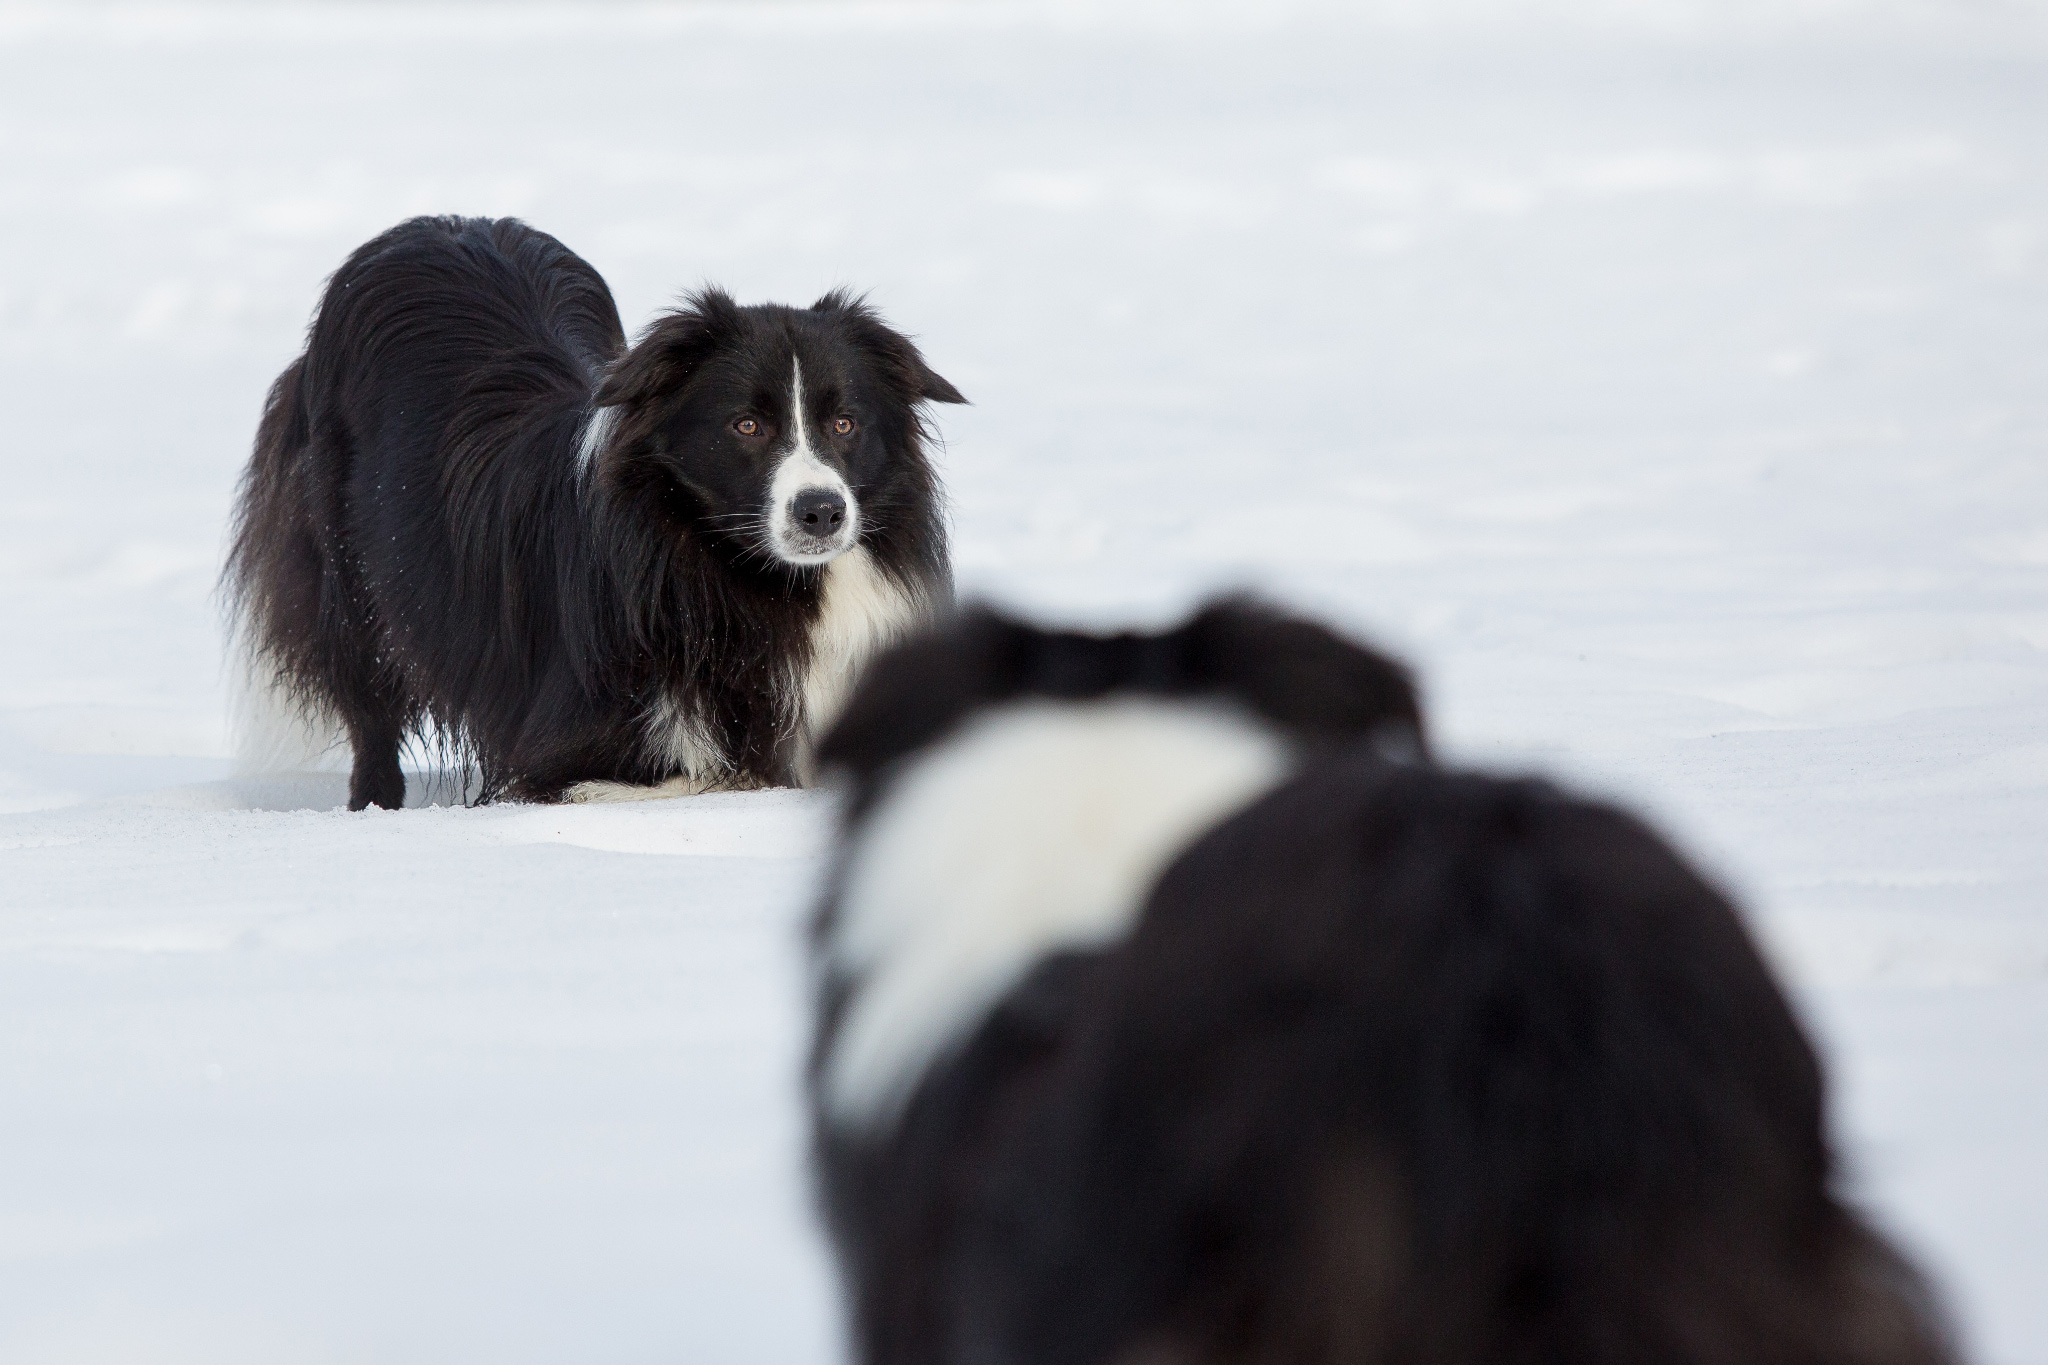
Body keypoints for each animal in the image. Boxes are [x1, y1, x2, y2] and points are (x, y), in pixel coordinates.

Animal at [228, 214, 962, 810]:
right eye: (746, 425)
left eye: (845, 423)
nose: (822, 512)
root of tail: (430, 225)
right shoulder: (562, 742)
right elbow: (706, 776)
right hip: (350, 574)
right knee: (369, 705)